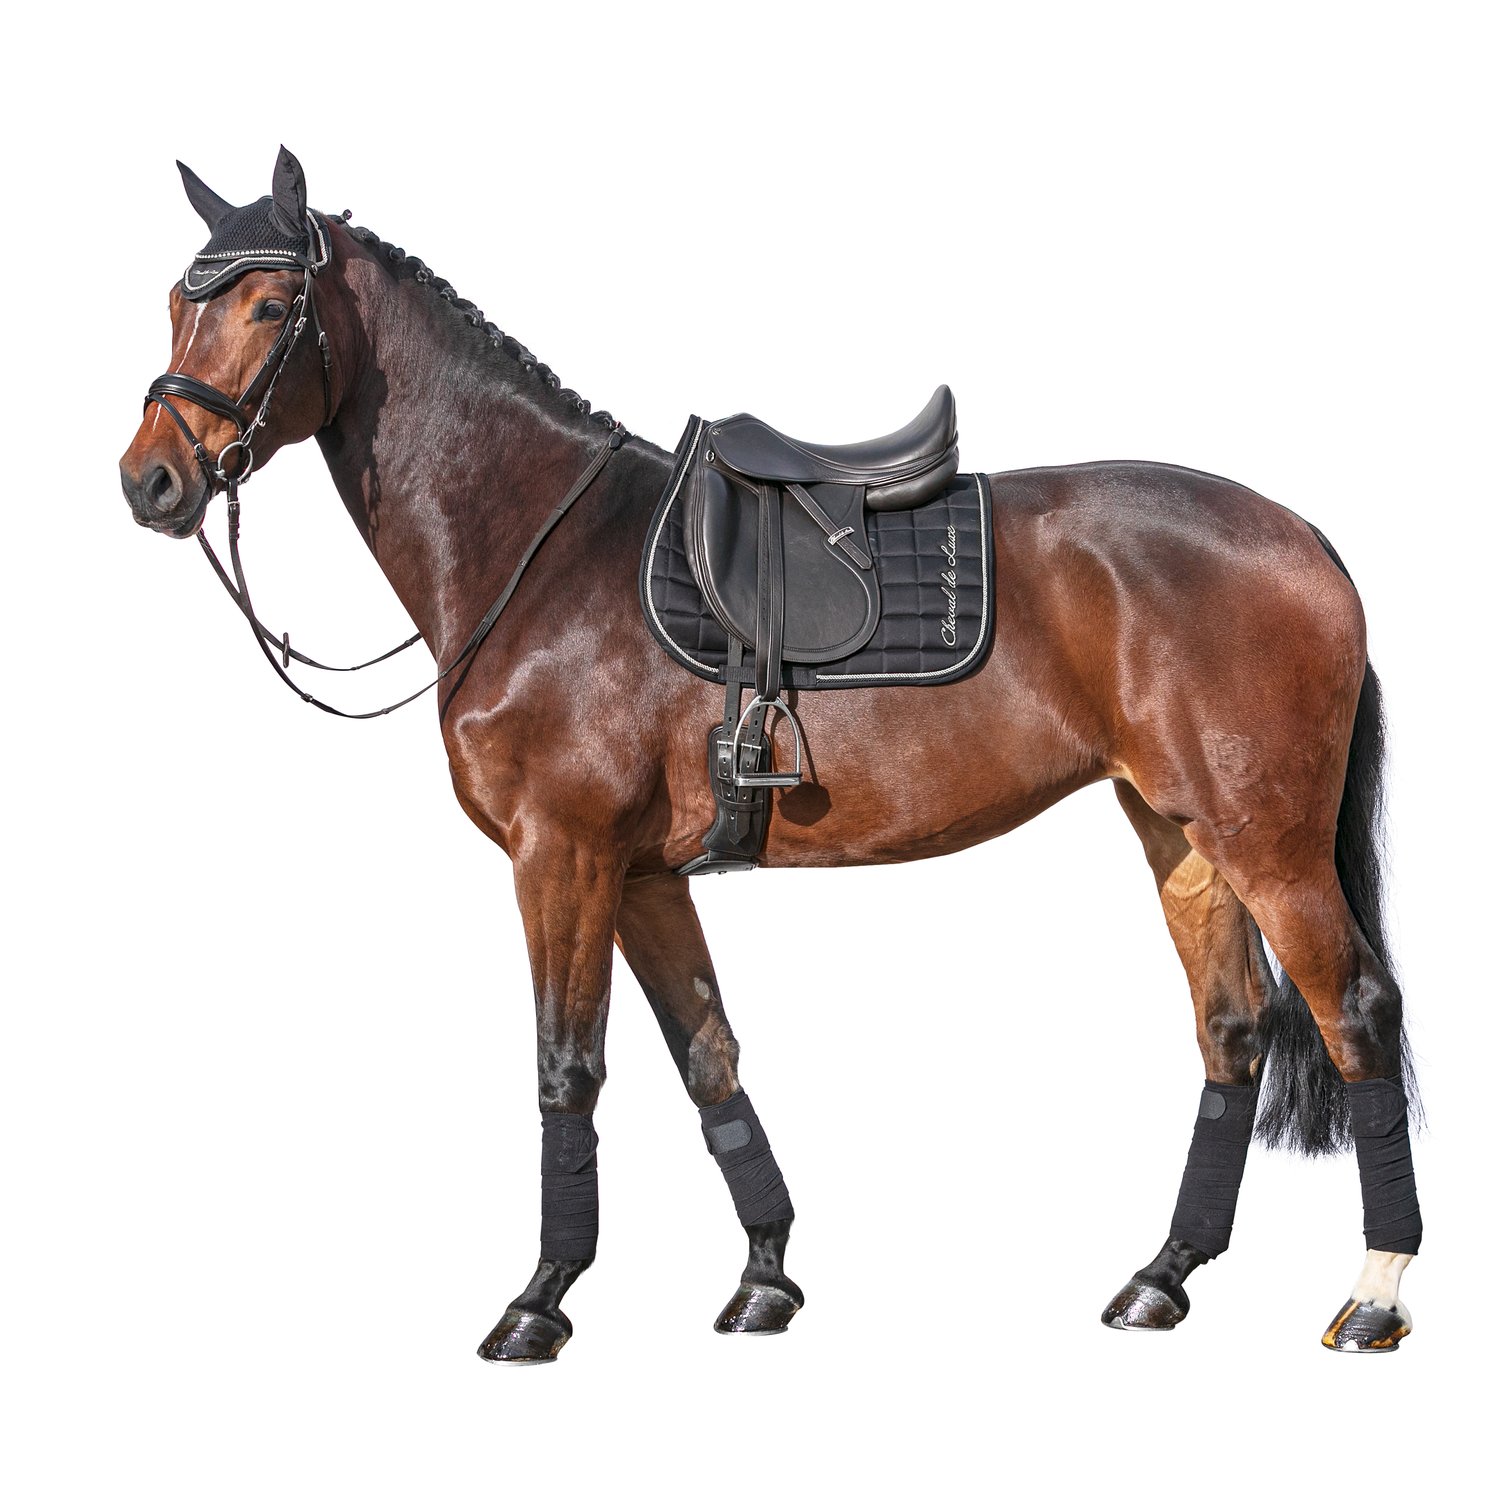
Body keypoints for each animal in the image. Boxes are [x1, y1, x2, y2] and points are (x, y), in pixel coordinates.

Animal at [119, 148, 1422, 1362]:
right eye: (178, 299)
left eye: (269, 306)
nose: (150, 480)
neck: (542, 550)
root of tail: (1303, 536)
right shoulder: (642, 876)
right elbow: (708, 1058)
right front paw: (764, 1279)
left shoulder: (562, 856)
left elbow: (566, 1068)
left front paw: (541, 1301)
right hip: (1182, 833)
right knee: (1234, 1030)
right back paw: (1163, 1278)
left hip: (1268, 839)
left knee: (1353, 1010)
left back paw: (1374, 1294)